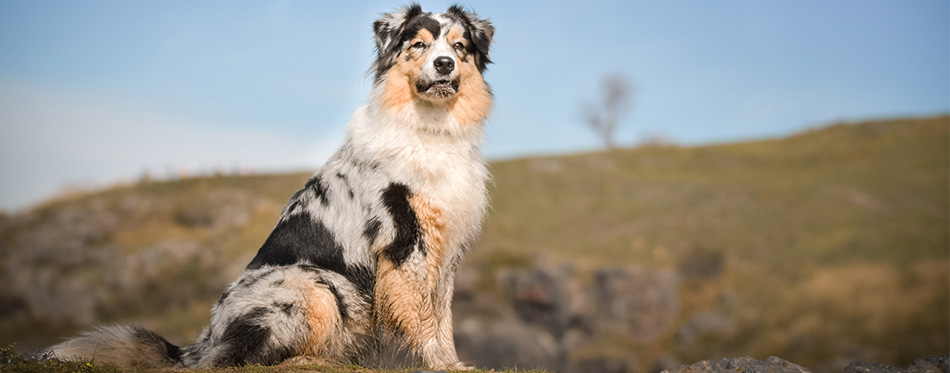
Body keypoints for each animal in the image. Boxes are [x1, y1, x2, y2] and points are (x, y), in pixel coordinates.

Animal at [36, 4, 494, 370]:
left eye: (459, 47)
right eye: (418, 45)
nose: (444, 65)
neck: (431, 129)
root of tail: (201, 341)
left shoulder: (445, 248)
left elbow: (442, 315)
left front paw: (454, 362)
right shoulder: (406, 243)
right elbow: (421, 319)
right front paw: (436, 364)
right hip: (313, 285)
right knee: (239, 358)